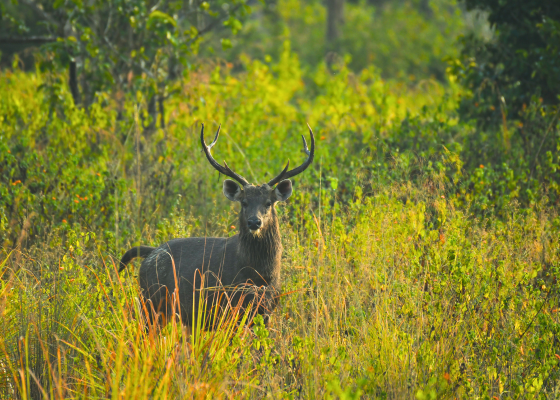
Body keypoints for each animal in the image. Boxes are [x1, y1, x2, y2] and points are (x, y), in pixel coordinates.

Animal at [119, 123, 316, 330]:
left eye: (268, 203)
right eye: (244, 202)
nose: (254, 222)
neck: (260, 275)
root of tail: (150, 252)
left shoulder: (268, 307)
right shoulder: (230, 304)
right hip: (151, 303)